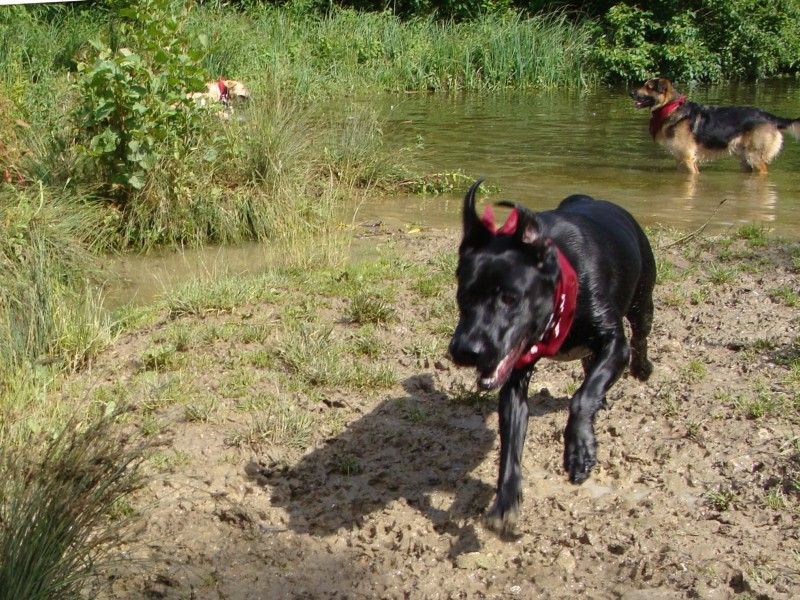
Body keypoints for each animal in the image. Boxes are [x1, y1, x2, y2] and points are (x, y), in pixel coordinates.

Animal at [446, 179, 652, 528]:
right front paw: (506, 499)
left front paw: (579, 450)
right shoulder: (514, 377)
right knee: (589, 364)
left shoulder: (614, 344)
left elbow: (581, 397)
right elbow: (511, 441)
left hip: (643, 299)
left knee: (640, 334)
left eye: (510, 298)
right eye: (464, 296)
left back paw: (642, 367)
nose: (464, 351)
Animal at [632, 77, 800, 173]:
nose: (630, 92)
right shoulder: (680, 159)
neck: (671, 107)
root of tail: (770, 117)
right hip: (745, 159)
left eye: (648, 87)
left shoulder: (688, 159)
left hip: (755, 157)